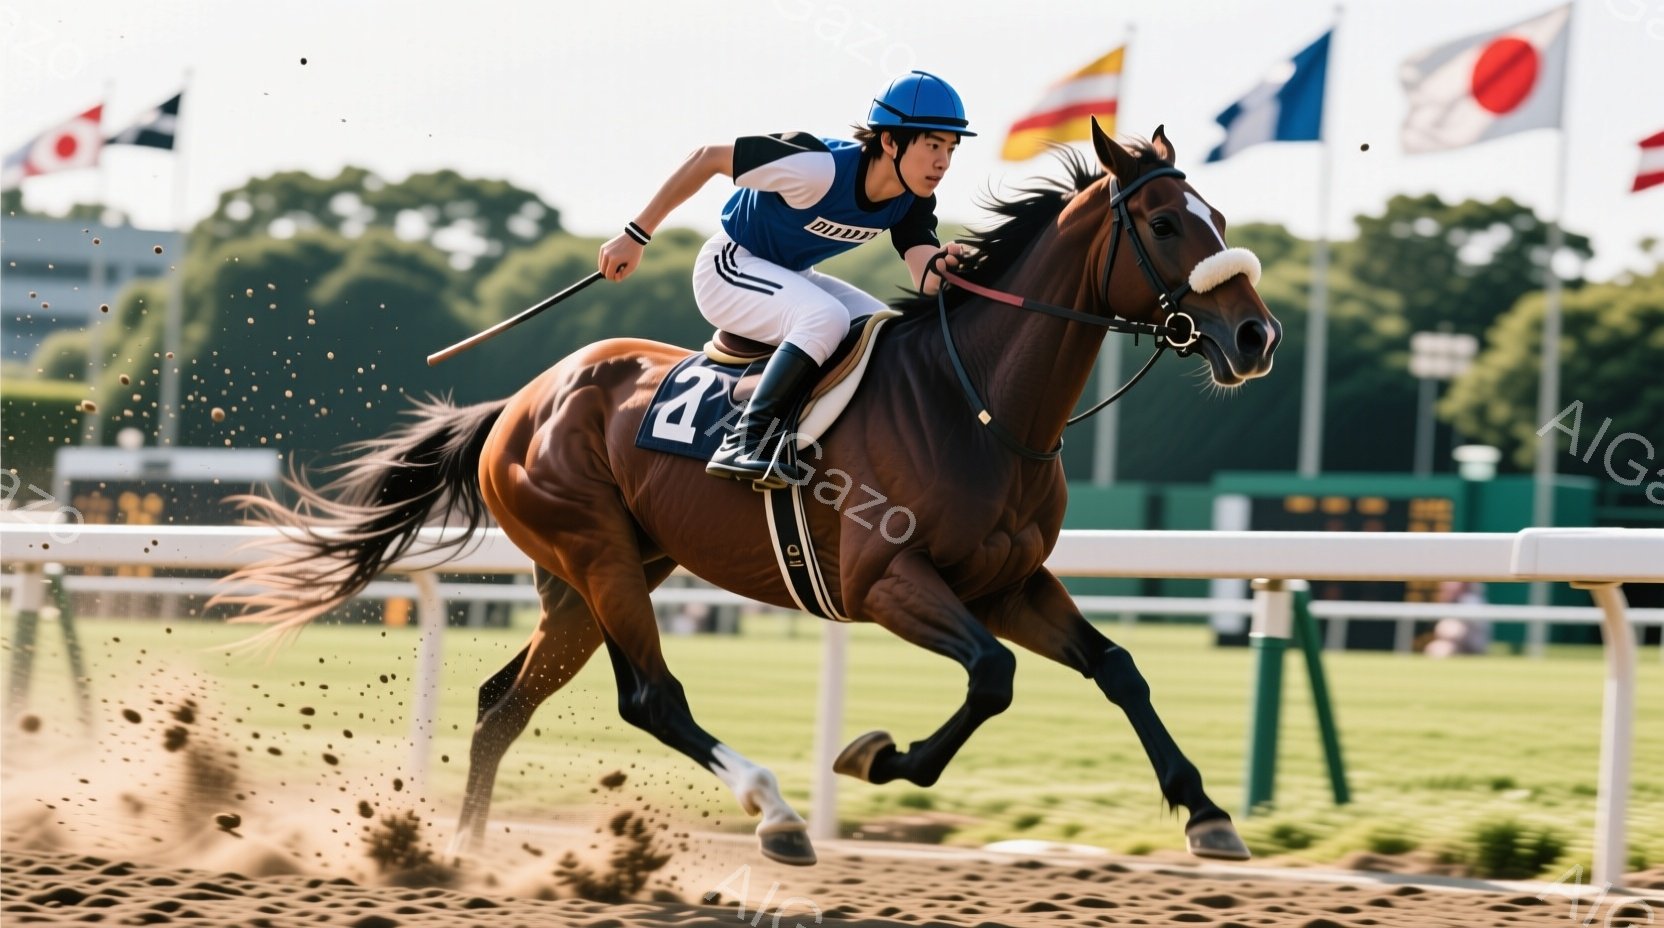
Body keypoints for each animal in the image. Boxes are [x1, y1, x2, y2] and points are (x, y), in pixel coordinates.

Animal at [223, 119, 1280, 868]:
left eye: (1222, 220)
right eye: (1164, 222)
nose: (1256, 337)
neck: (975, 403)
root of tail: (521, 401)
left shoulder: (1010, 583)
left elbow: (1118, 668)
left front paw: (1207, 813)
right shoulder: (887, 582)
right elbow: (992, 676)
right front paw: (875, 757)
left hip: (591, 576)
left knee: (500, 707)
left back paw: (465, 856)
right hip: (599, 553)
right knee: (651, 698)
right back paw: (775, 813)